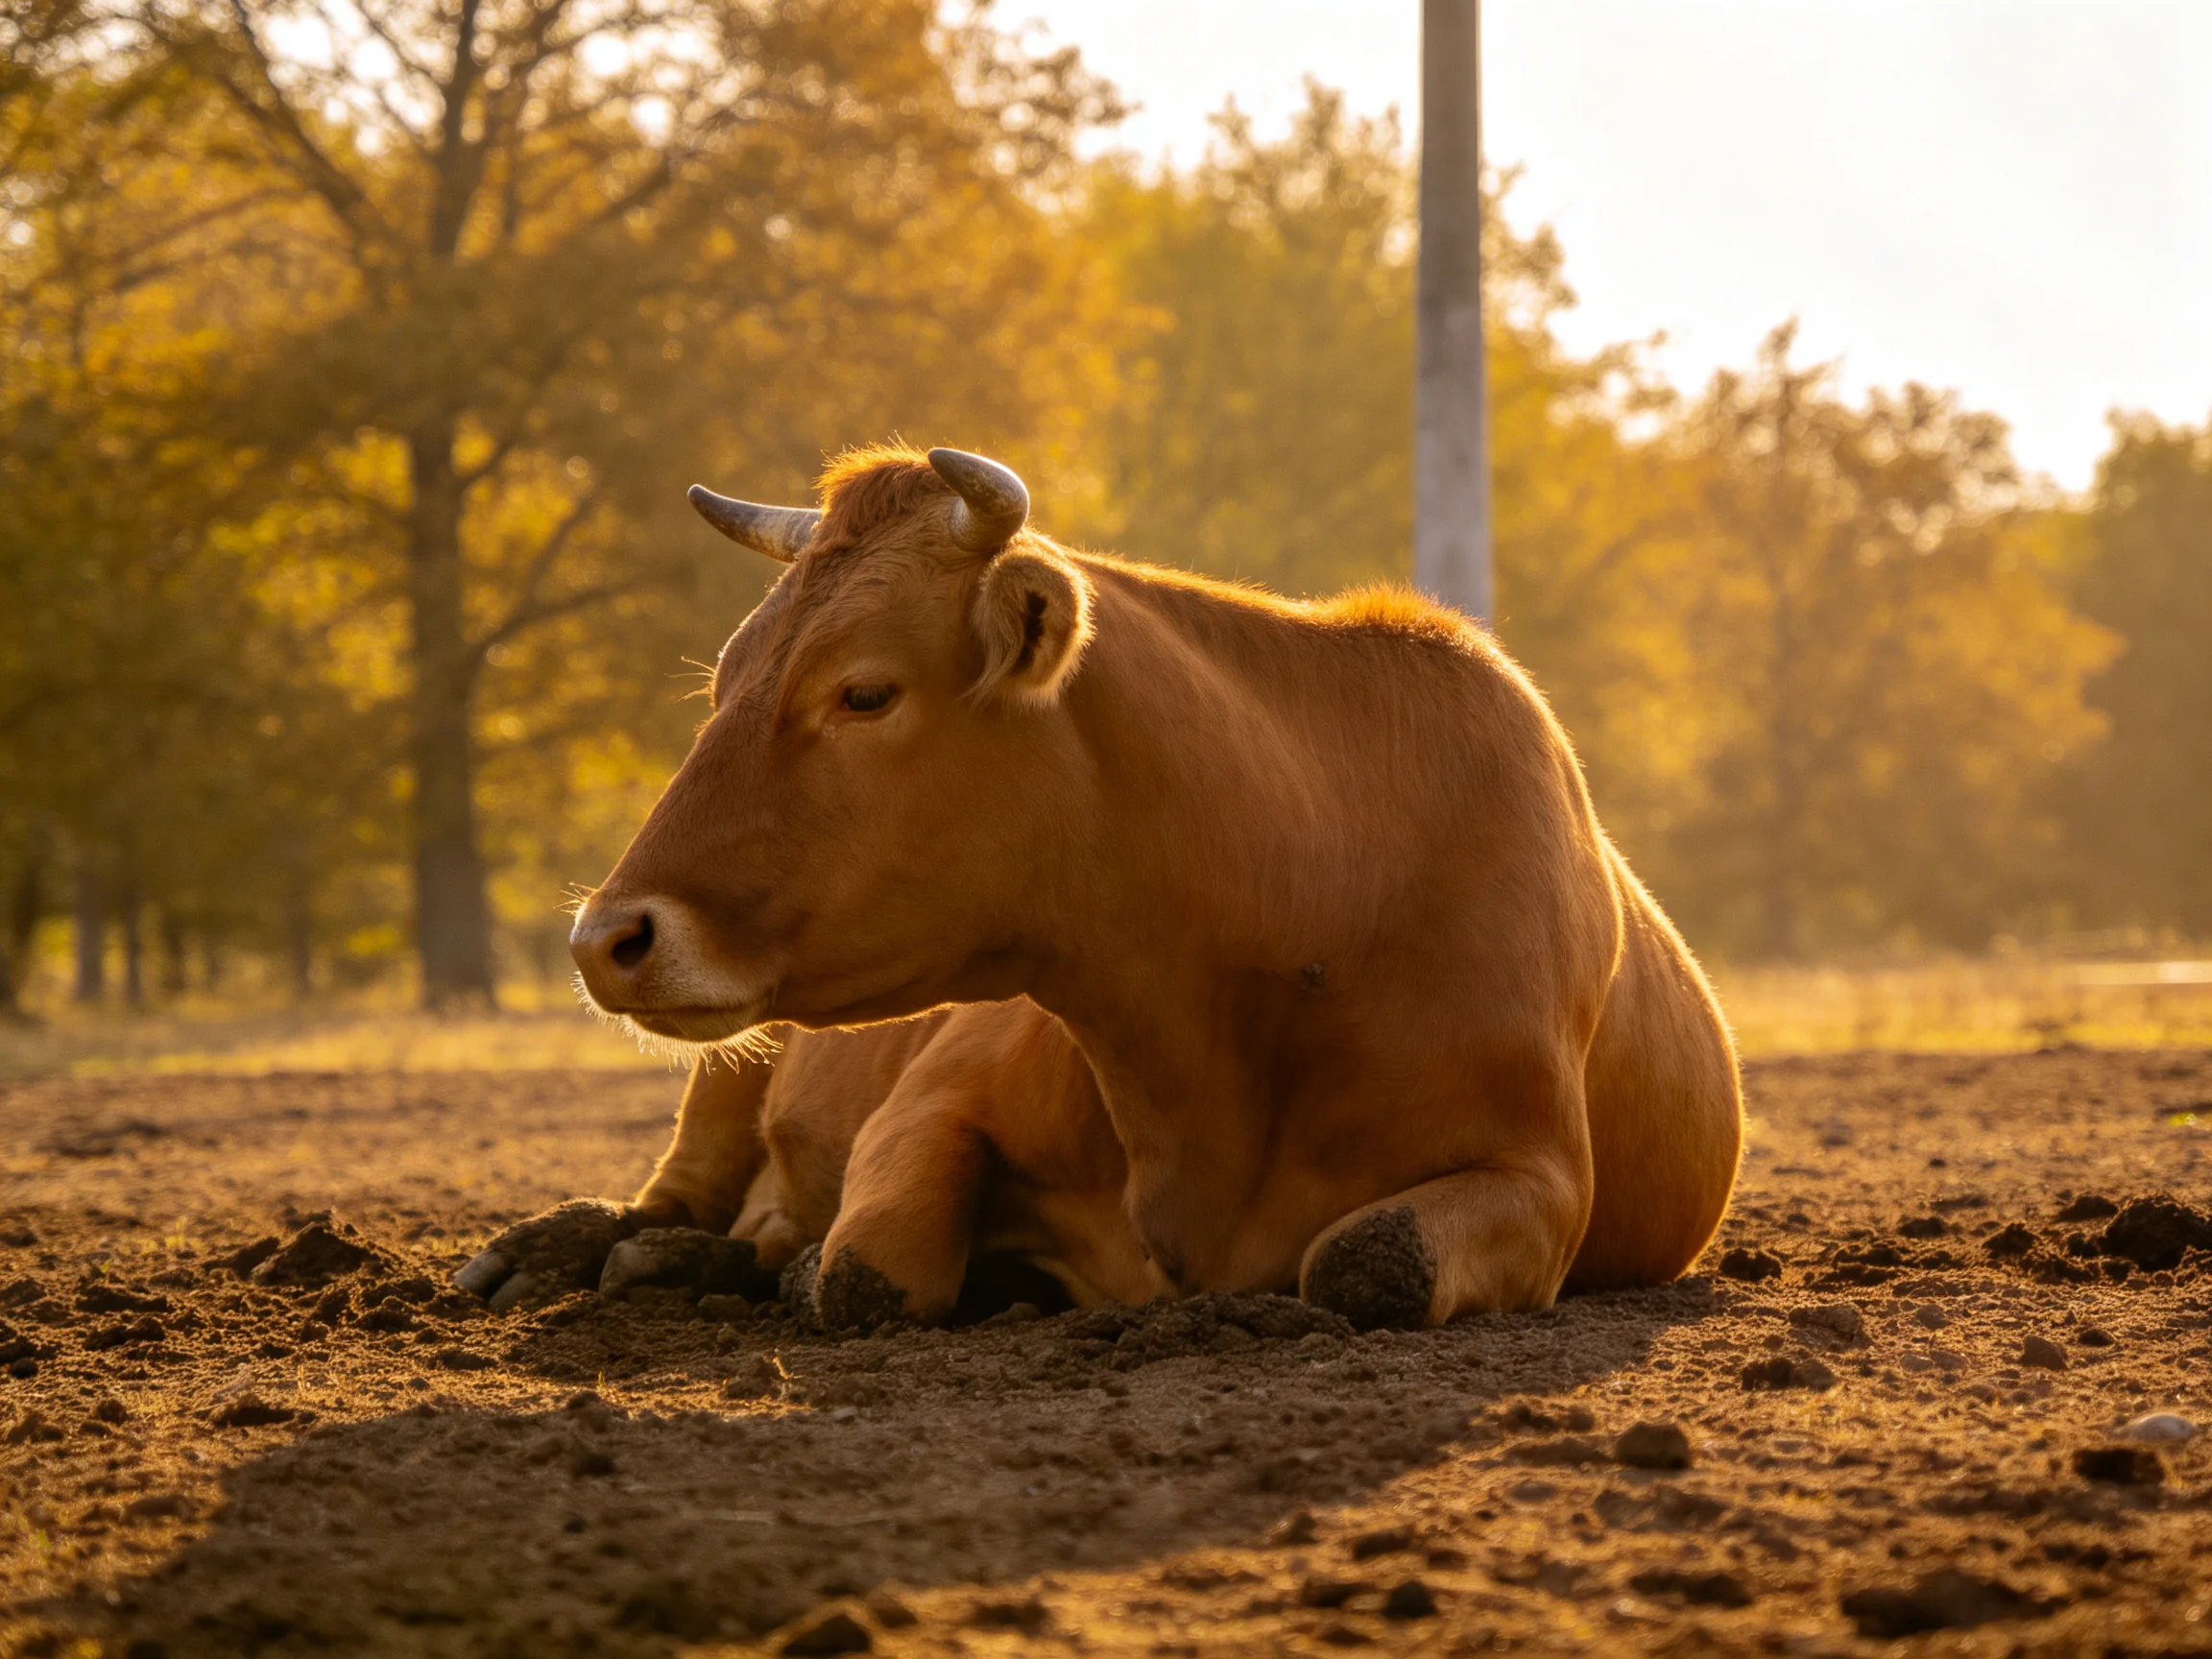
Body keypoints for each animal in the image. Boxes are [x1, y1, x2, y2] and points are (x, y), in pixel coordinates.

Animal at [567, 444, 1742, 1329]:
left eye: (863, 692)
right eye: (723, 682)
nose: (606, 938)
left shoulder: (1542, 1179)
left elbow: (1370, 1261)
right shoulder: (940, 1089)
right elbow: (869, 1271)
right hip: (726, 1082)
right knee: (668, 1197)